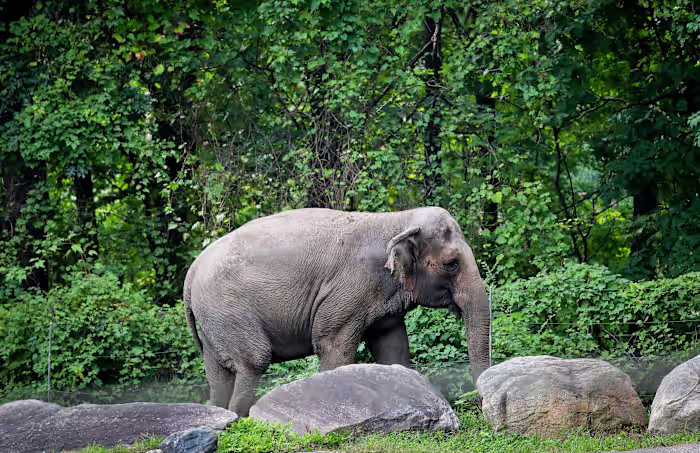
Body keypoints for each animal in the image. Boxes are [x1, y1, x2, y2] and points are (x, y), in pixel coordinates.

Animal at [183, 206, 491, 416]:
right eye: (451, 264)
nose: (478, 405)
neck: (396, 219)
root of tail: (193, 270)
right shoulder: (349, 289)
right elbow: (333, 346)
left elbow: (393, 349)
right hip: (228, 309)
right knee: (253, 361)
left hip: (213, 319)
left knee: (218, 373)